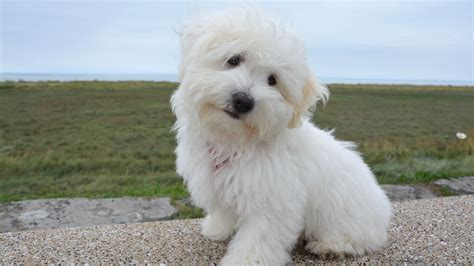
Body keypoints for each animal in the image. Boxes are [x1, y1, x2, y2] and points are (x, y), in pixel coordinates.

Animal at [172, 7, 390, 264]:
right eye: (234, 59)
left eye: (272, 80)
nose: (243, 100)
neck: (236, 141)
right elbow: (225, 211)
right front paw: (217, 228)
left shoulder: (272, 200)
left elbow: (258, 238)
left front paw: (244, 260)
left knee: (355, 238)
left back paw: (330, 245)